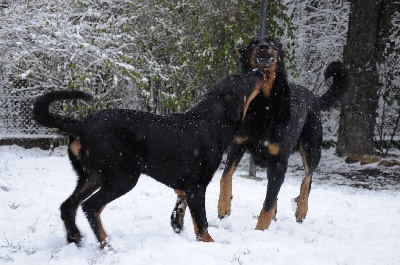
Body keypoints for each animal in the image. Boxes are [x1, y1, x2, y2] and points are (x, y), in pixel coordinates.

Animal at [32, 68, 268, 245]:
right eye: (243, 79)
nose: (260, 70)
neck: (211, 122)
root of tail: (81, 124)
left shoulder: (184, 186)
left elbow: (181, 209)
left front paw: (177, 227)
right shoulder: (197, 186)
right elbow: (202, 223)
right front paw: (210, 244)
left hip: (92, 176)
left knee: (68, 206)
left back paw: (75, 238)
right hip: (122, 178)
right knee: (90, 207)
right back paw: (107, 244)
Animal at [170, 36, 352, 232]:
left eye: (273, 43)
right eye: (253, 44)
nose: (264, 46)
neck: (263, 105)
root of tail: (314, 98)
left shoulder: (279, 162)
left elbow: (268, 202)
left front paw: (261, 231)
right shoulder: (238, 145)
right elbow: (225, 177)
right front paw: (223, 207)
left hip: (311, 148)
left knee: (307, 179)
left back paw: (301, 209)